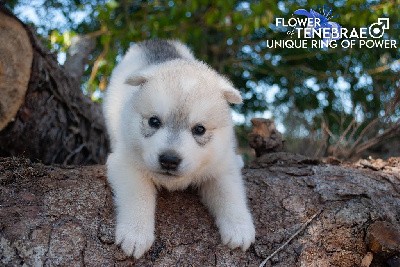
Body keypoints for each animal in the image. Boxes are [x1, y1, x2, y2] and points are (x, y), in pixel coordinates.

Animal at [104, 39, 255, 260]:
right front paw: (135, 233)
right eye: (154, 121)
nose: (169, 160)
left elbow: (230, 193)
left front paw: (239, 227)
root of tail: (156, 40)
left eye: (199, 129)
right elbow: (138, 195)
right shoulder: (125, 164)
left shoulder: (220, 169)